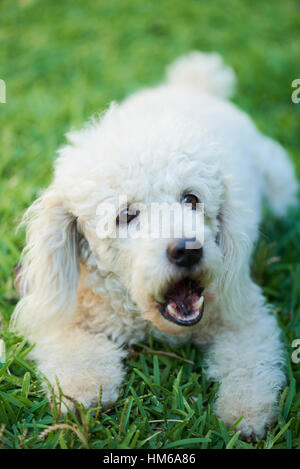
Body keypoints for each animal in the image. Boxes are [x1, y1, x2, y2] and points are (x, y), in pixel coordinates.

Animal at [11, 52, 298, 438]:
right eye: (126, 215)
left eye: (191, 199)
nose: (188, 249)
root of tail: (193, 87)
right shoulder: (70, 313)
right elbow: (75, 355)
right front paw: (82, 394)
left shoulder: (244, 314)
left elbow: (248, 367)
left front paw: (245, 415)